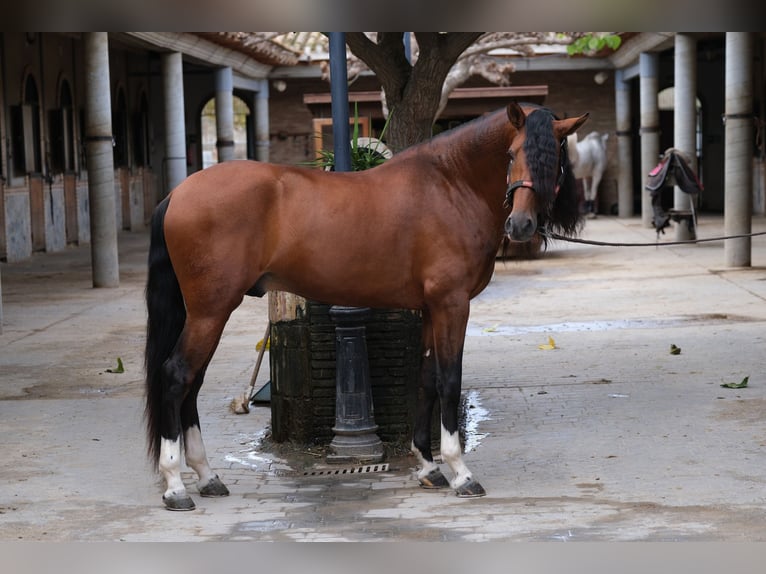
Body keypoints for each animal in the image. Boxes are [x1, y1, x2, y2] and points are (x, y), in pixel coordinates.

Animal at [146, 101, 588, 510]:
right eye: (512, 154)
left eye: (555, 159)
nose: (521, 226)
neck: (449, 184)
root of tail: (177, 194)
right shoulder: (452, 304)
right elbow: (449, 380)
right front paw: (460, 472)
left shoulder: (431, 308)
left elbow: (426, 378)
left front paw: (428, 468)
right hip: (211, 311)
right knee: (177, 376)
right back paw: (176, 486)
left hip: (204, 313)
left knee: (192, 383)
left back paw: (207, 477)